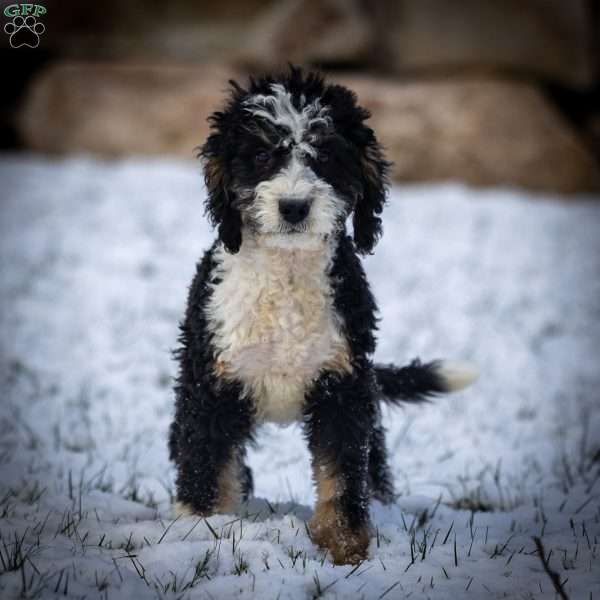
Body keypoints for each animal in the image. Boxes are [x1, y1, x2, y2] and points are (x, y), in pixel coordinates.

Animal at [166, 68, 476, 564]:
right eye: (260, 155)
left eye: (326, 156)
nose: (294, 207)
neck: (286, 276)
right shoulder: (210, 385)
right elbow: (206, 467)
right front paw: (198, 531)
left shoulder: (343, 387)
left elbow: (343, 476)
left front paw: (346, 547)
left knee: (372, 468)